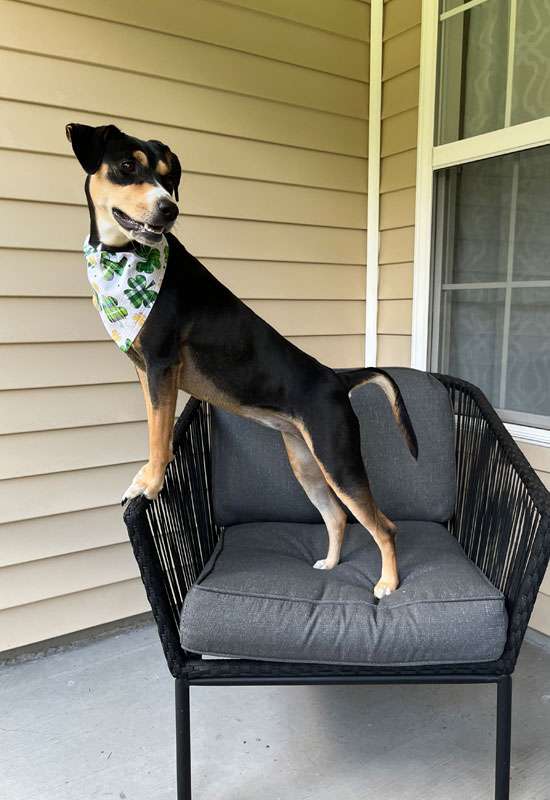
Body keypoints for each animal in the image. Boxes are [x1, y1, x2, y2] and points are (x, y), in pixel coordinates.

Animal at [67, 123, 418, 600]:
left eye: (168, 177)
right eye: (126, 166)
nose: (169, 209)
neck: (124, 260)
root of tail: (336, 378)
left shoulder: (161, 365)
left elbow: (160, 436)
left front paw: (150, 484)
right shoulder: (143, 370)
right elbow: (154, 427)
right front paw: (146, 474)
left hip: (340, 459)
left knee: (384, 525)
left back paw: (387, 582)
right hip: (306, 463)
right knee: (337, 516)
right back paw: (330, 563)